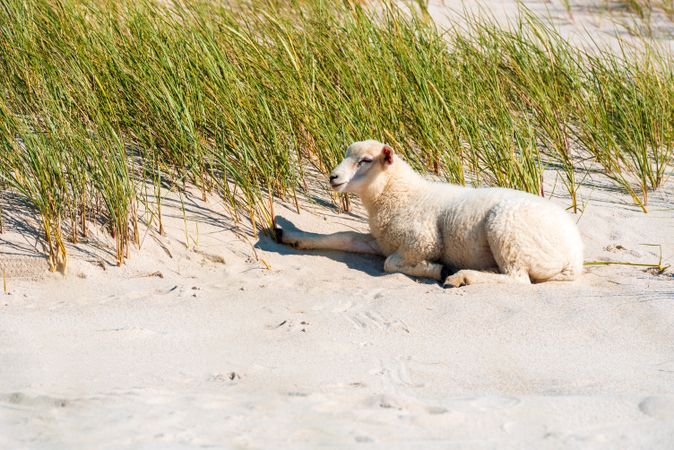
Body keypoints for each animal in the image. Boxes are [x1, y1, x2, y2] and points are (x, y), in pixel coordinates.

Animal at [276, 139, 580, 286]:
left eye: (365, 161)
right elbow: (343, 236)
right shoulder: (381, 241)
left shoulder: (422, 241)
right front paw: (293, 236)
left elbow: (390, 264)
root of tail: (576, 254)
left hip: (507, 231)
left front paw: (435, 269)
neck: (400, 194)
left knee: (518, 278)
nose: (333, 177)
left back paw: (462, 277)